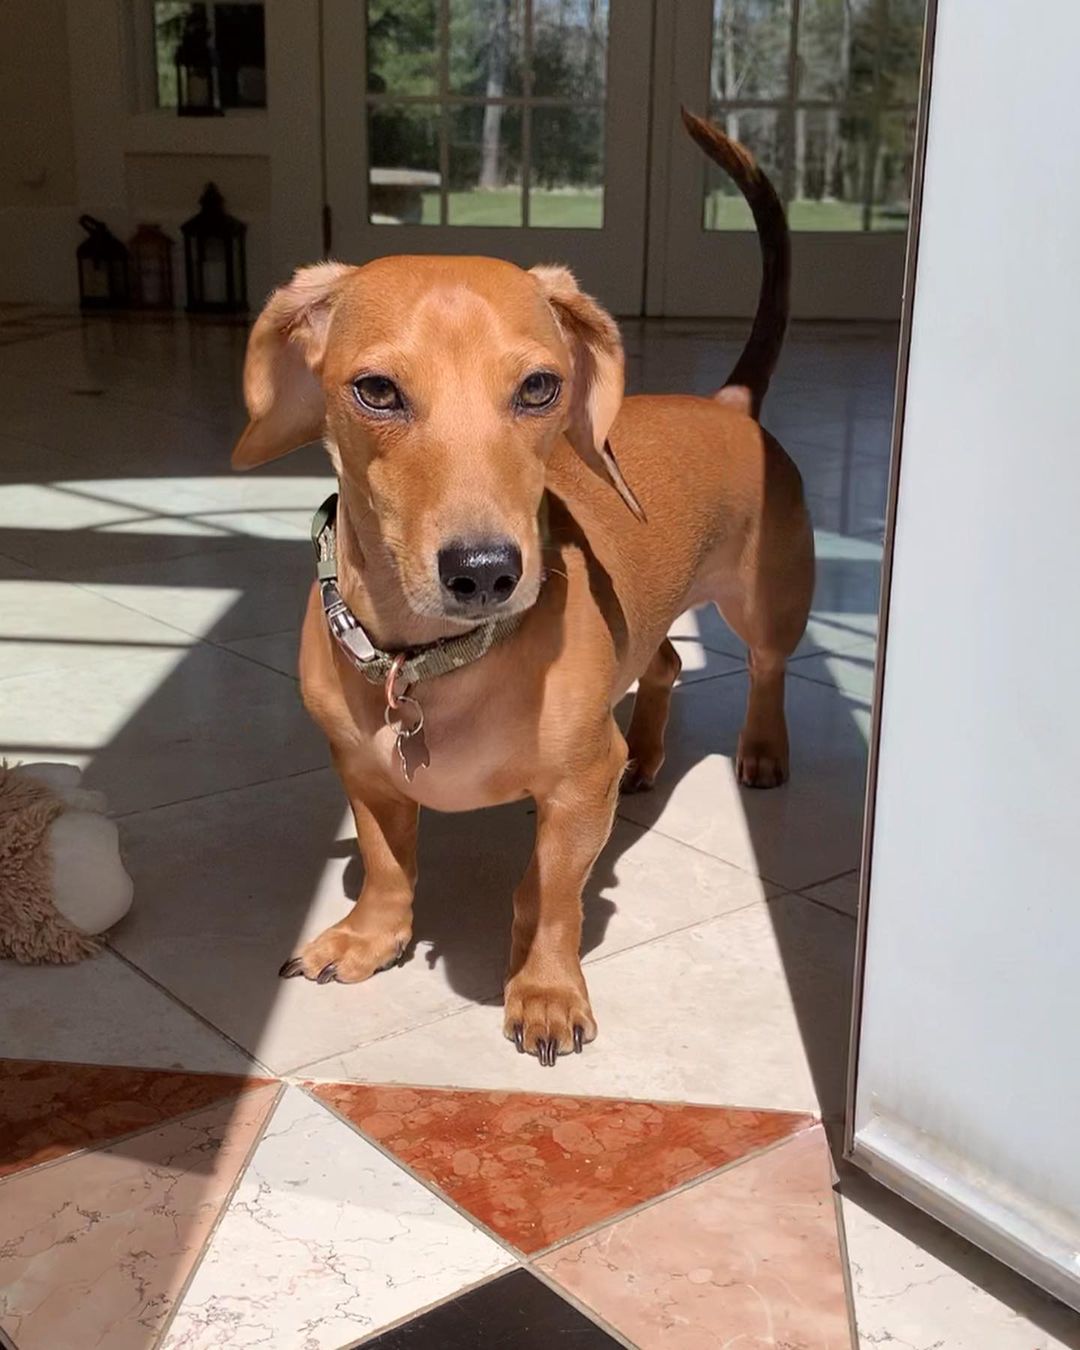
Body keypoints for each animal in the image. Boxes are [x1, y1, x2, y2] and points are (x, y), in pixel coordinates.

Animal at [232, 113, 815, 1063]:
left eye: (540, 386)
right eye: (376, 390)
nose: (484, 573)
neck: (430, 662)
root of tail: (729, 404)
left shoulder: (577, 789)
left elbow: (553, 896)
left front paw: (542, 988)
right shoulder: (363, 768)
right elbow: (388, 865)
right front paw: (371, 938)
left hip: (768, 602)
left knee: (766, 668)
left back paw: (762, 749)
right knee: (664, 668)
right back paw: (647, 753)